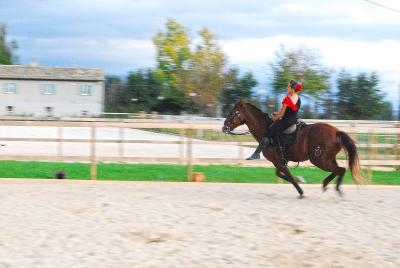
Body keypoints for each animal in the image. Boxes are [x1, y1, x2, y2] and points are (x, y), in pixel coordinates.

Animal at [222, 99, 362, 198]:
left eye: (232, 113)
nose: (224, 128)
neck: (266, 129)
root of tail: (336, 132)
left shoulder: (278, 162)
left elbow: (287, 175)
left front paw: (300, 191)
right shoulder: (281, 162)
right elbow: (282, 174)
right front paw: (298, 181)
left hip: (319, 160)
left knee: (340, 169)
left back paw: (333, 187)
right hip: (328, 159)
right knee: (338, 170)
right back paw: (327, 184)